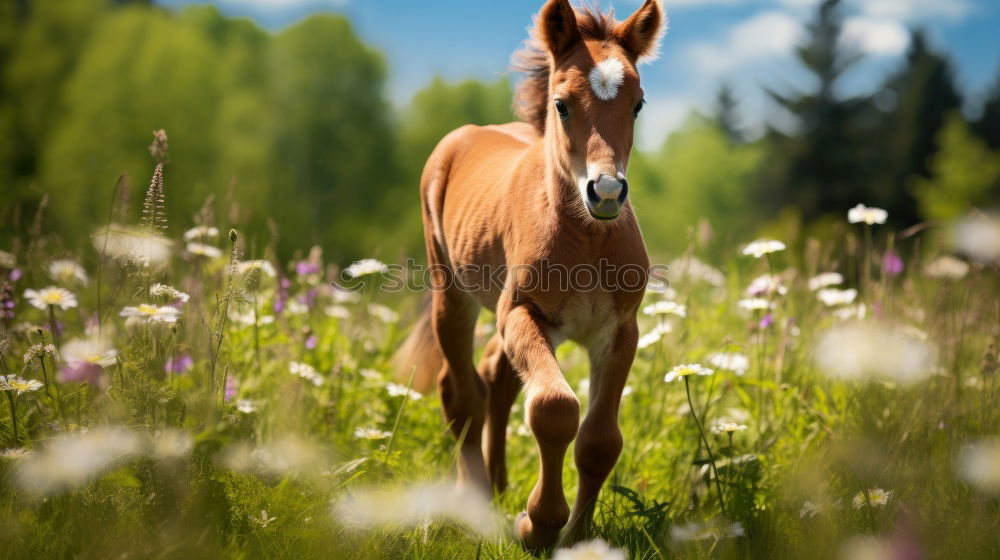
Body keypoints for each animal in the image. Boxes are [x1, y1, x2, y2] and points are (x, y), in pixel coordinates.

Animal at [396, 0, 664, 552]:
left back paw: (498, 485)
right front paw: (536, 524)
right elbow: (554, 409)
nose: (606, 192)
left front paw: (577, 538)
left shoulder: (619, 331)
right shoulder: (522, 312)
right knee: (462, 392)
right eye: (561, 104)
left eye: (638, 104)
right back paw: (476, 500)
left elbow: (600, 441)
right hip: (451, 291)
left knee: (496, 377)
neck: (588, 239)